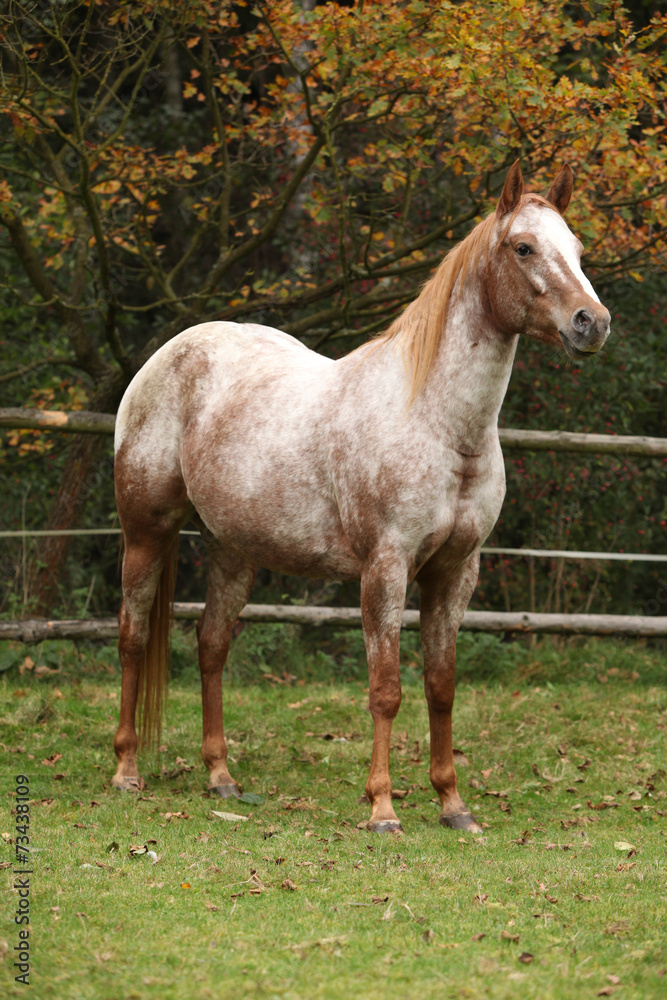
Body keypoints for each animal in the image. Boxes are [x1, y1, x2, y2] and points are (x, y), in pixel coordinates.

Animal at [112, 161, 610, 833]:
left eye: (578, 250)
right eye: (523, 247)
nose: (592, 322)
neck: (442, 426)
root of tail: (167, 356)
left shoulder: (456, 572)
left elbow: (441, 686)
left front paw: (454, 806)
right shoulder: (386, 568)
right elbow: (386, 689)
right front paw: (382, 809)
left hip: (233, 550)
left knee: (211, 645)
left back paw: (222, 778)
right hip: (146, 533)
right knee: (134, 637)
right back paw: (126, 772)